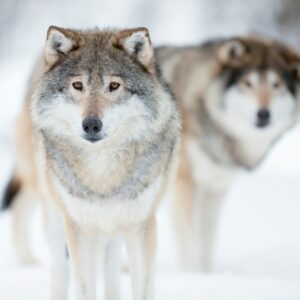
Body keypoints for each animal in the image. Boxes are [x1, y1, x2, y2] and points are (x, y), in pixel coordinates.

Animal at [1, 26, 180, 300]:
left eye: (114, 85)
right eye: (78, 85)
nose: (92, 124)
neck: (102, 172)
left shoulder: (140, 225)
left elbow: (142, 288)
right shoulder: (79, 226)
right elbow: (84, 286)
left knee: (111, 272)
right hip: (54, 215)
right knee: (59, 270)